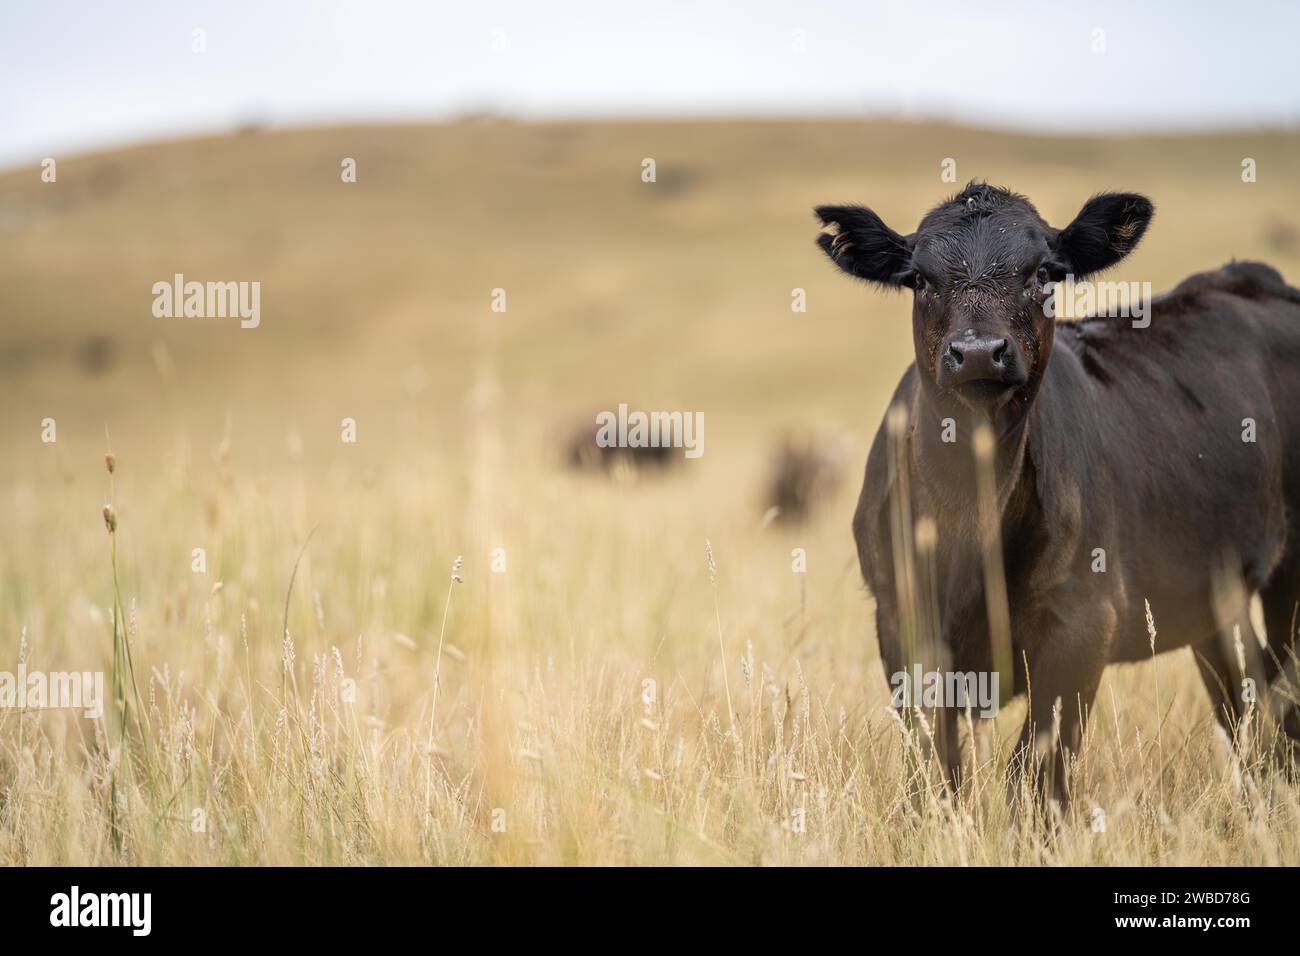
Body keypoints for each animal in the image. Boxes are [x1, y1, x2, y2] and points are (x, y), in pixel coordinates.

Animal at [815, 182, 1300, 807]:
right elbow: (935, 771)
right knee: (1252, 708)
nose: (978, 351)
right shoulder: (901, 621)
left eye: (1042, 273)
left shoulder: (1083, 621)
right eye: (919, 278)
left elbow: (1034, 775)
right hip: (1213, 599)